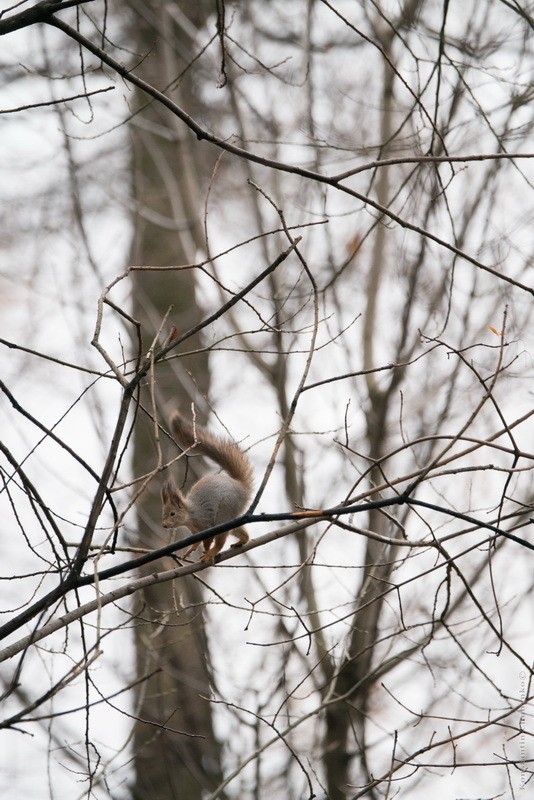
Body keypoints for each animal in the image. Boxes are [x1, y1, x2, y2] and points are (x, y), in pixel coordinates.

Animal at [161, 412, 255, 564]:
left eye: (173, 513)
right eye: (163, 513)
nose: (164, 525)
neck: (191, 516)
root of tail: (242, 487)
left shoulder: (206, 525)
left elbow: (207, 541)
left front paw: (206, 550)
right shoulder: (195, 533)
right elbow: (197, 542)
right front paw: (191, 549)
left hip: (225, 512)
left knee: (221, 541)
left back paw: (212, 552)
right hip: (232, 518)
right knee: (240, 531)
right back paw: (242, 541)